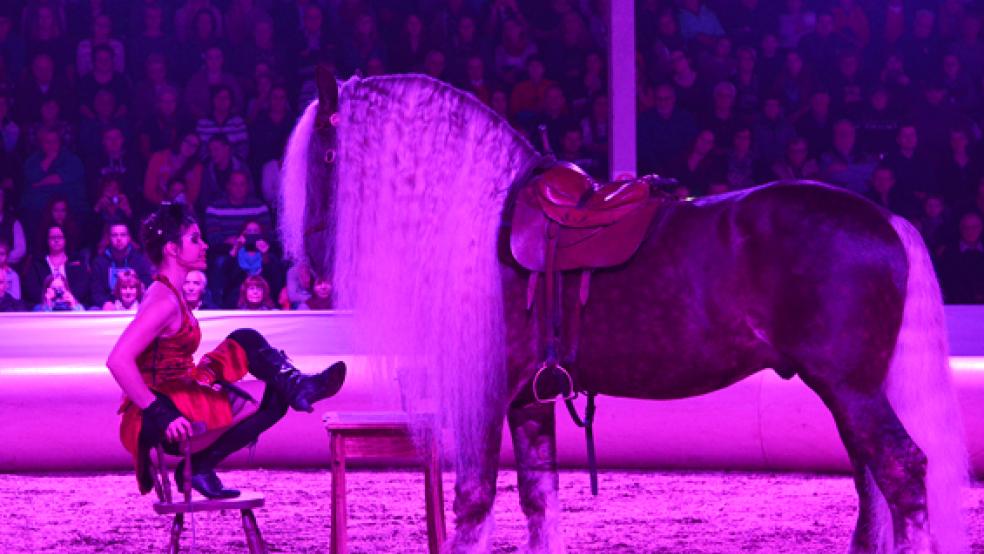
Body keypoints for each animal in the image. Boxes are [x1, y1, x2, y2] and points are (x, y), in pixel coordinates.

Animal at [278, 71, 968, 548]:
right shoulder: (529, 402)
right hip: (850, 394)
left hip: (852, 391)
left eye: (328, 156)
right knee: (875, 489)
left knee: (903, 475)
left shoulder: (485, 392)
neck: (483, 223)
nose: (309, 269)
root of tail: (884, 220)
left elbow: (473, 505)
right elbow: (540, 501)